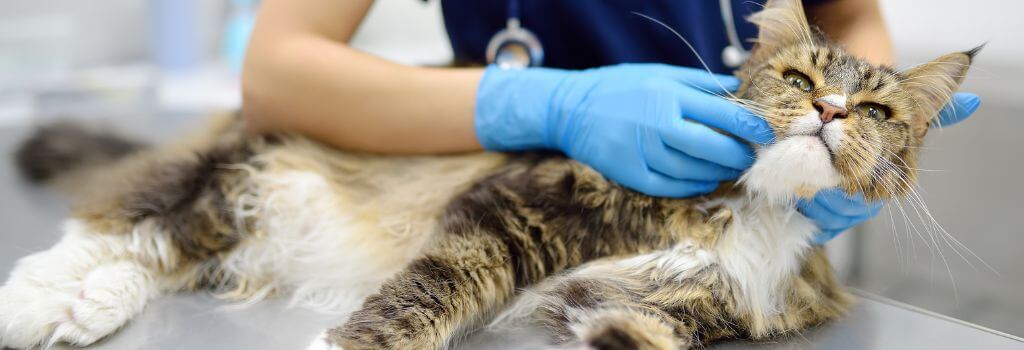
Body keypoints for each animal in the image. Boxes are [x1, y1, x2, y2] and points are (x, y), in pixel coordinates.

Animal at [0, 1, 978, 347]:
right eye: (801, 79)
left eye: (878, 111)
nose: (832, 113)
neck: (756, 209)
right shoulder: (508, 212)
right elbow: (419, 300)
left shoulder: (690, 302)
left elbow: (645, 331)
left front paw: (619, 341)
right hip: (240, 169)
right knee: (123, 226)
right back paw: (42, 302)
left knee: (167, 257)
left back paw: (89, 307)